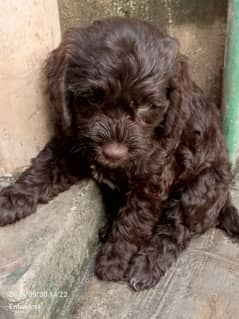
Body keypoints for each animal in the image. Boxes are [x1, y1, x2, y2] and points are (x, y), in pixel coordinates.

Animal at [0, 18, 239, 292]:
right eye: (92, 98)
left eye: (146, 106)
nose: (113, 153)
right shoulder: (72, 142)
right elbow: (42, 167)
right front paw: (11, 198)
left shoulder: (153, 178)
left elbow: (134, 220)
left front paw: (114, 259)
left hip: (200, 190)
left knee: (177, 228)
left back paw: (146, 265)